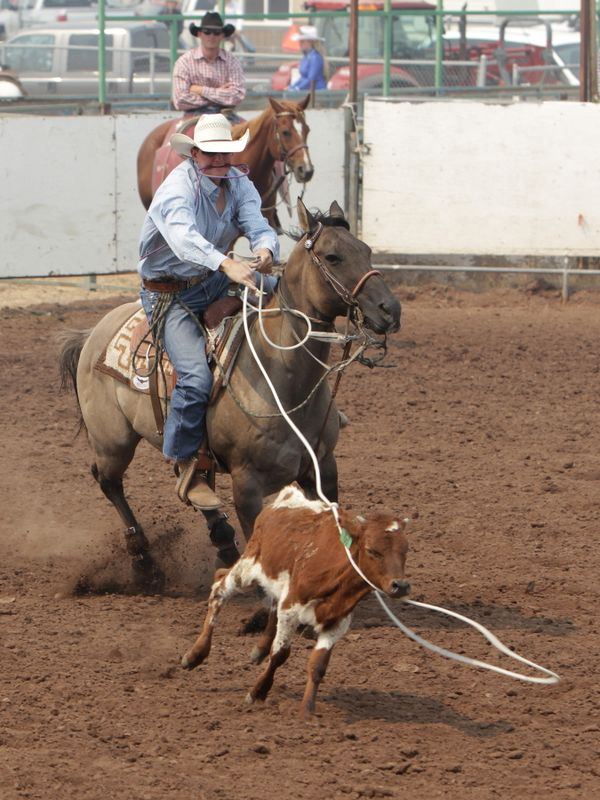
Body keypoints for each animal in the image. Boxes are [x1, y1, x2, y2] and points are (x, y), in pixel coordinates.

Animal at [181, 484, 412, 717]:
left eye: (405, 550)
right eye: (372, 550)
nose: (400, 586)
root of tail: (287, 496)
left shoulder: (337, 623)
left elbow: (318, 666)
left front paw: (306, 711)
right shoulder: (291, 608)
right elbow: (280, 654)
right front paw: (257, 693)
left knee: (265, 600)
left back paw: (259, 648)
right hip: (248, 568)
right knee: (219, 586)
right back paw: (196, 654)